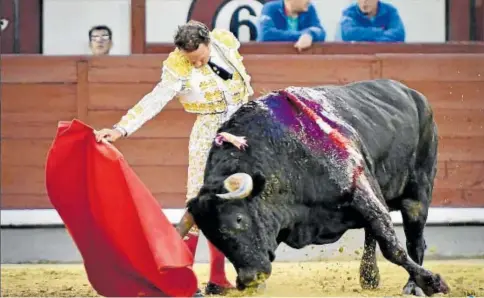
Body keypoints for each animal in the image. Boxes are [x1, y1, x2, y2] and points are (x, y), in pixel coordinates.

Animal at [185, 79, 450, 296]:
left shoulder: (360, 192)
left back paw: (412, 286)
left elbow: (392, 247)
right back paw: (369, 278)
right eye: (211, 235)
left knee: (414, 240)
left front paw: (434, 282)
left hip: (417, 195)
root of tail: (414, 94)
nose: (249, 278)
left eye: (239, 219)